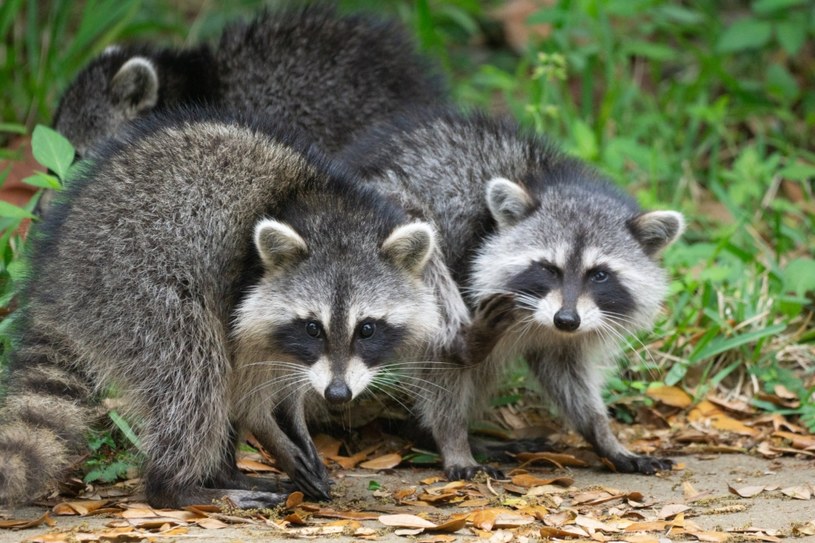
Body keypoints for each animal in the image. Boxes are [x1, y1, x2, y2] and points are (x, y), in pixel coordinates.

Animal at [0, 109, 452, 510]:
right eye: (313, 327)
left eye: (367, 329)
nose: (338, 395)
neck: (334, 214)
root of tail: (56, 274)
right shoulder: (242, 289)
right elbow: (243, 387)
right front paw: (272, 433)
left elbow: (288, 377)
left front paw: (293, 422)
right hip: (134, 286)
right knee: (195, 374)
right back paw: (179, 487)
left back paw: (223, 472)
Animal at [340, 109, 688, 480]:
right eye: (549, 268)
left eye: (599, 274)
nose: (566, 319)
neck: (544, 178)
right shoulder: (466, 260)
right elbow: (442, 367)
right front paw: (453, 440)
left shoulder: (565, 329)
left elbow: (566, 371)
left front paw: (602, 434)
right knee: (418, 232)